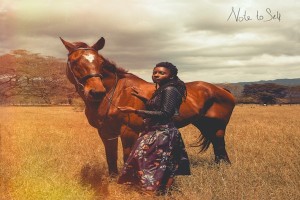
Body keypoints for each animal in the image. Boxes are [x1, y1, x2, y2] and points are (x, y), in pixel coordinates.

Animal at [59, 36, 236, 175]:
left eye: (101, 62)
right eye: (74, 61)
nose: (96, 92)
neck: (115, 93)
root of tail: (222, 89)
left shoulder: (128, 131)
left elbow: (126, 156)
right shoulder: (106, 132)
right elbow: (111, 157)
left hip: (219, 128)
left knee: (220, 147)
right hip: (205, 124)